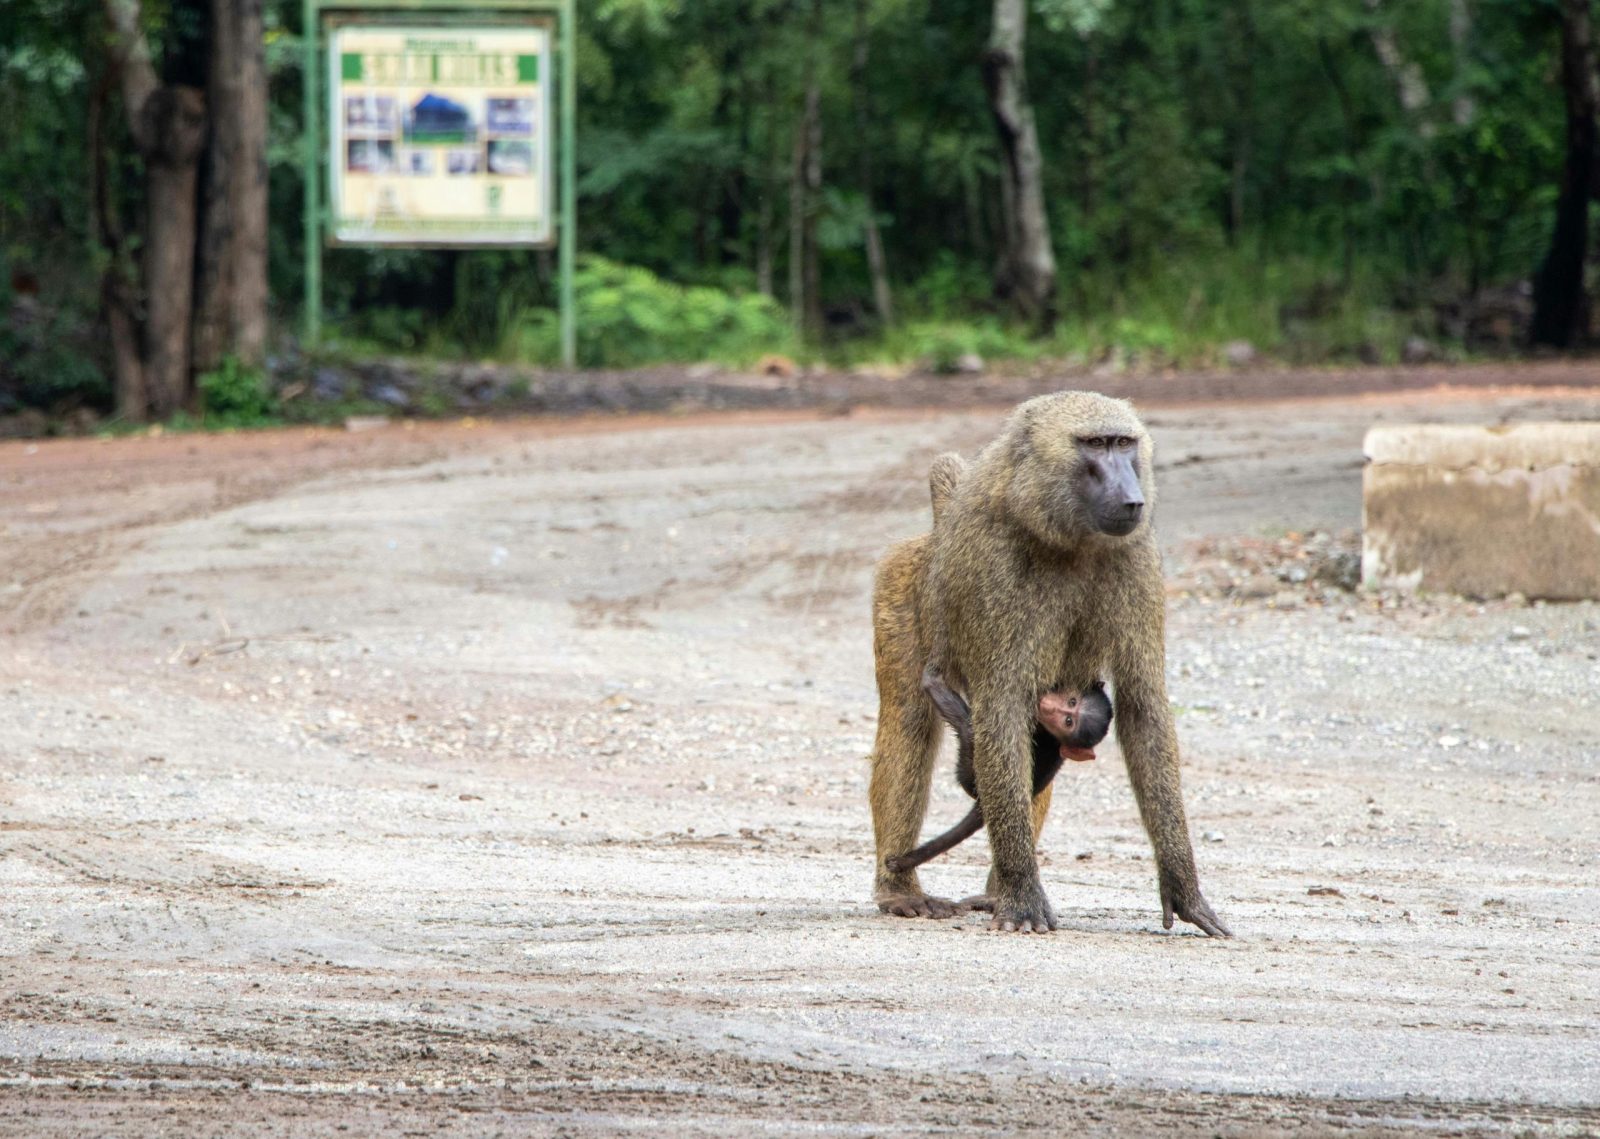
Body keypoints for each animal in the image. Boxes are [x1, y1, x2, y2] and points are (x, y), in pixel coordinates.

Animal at [883, 671, 1112, 877]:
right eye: (1072, 702)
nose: (1049, 707)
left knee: (971, 730)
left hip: (971, 774)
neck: (1052, 737)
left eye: (1068, 721)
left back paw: (934, 685)